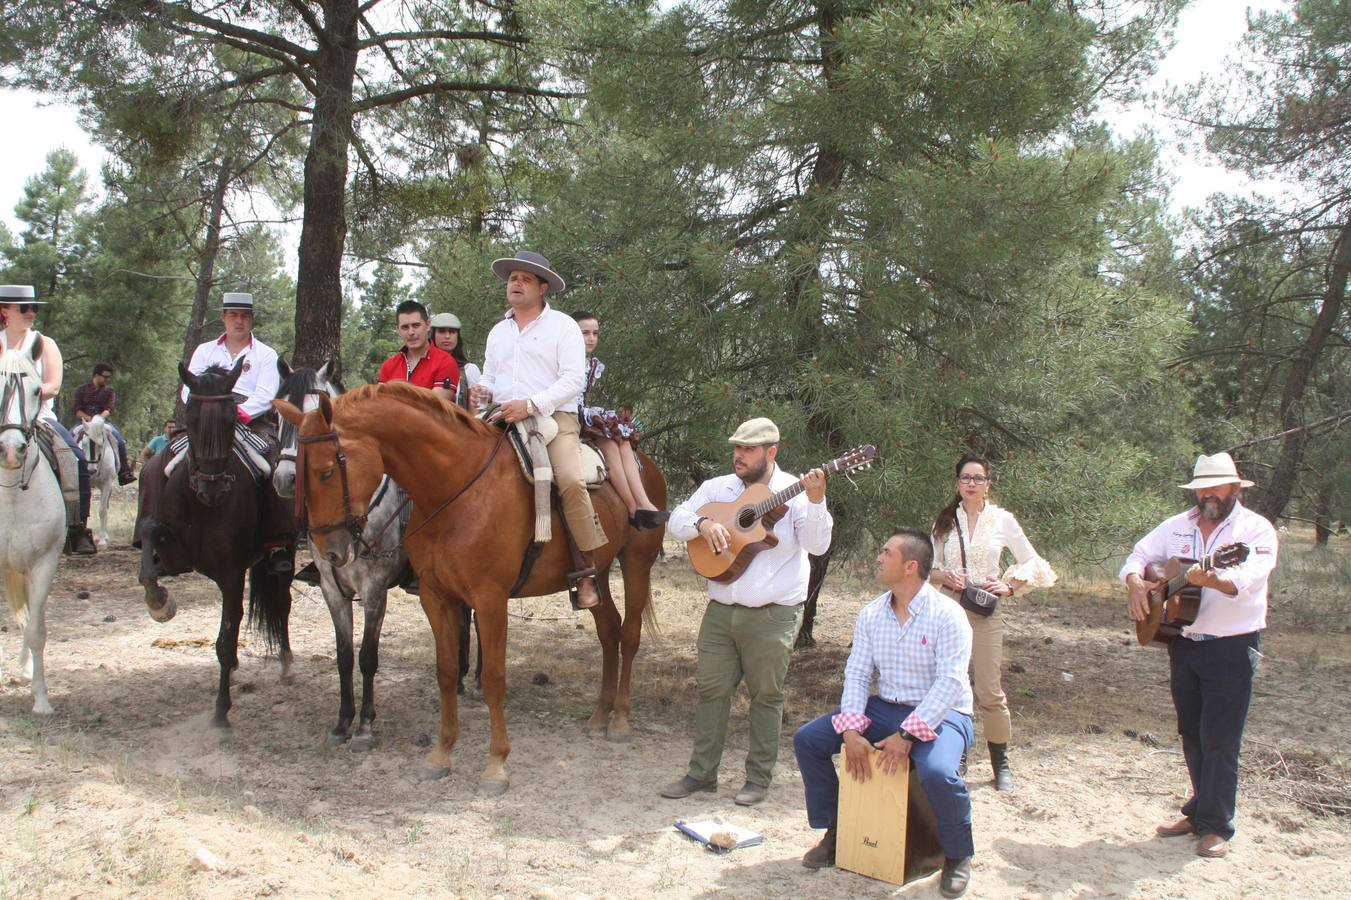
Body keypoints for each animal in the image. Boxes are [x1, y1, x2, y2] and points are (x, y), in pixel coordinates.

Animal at [75, 410, 118, 543]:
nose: (91, 470)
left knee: (106, 507)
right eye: (84, 444)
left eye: (100, 444)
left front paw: (103, 539)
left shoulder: (107, 484)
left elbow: (102, 510)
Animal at [275, 381, 670, 789]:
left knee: (629, 634)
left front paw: (496, 764)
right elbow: (446, 672)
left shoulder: (489, 599)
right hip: (600, 572)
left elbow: (494, 679)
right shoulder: (436, 597)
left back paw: (619, 719)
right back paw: (599, 714)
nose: (330, 551)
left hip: (636, 564)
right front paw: (441, 754)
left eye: (325, 472)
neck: (456, 492)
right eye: (300, 477)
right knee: (608, 631)